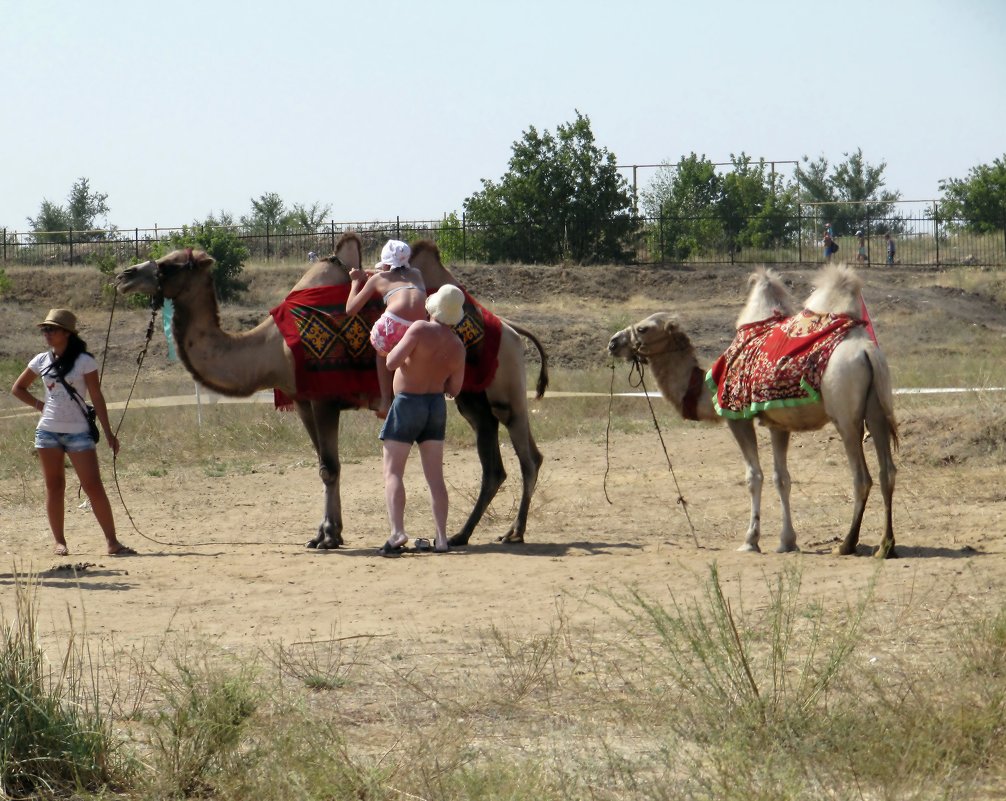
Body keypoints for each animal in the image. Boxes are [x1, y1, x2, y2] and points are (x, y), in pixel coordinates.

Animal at [114, 230, 547, 543]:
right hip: (473, 398)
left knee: (528, 456)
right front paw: (327, 533)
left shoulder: (323, 399)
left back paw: (513, 533)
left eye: (171, 265)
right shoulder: (303, 401)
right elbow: (324, 465)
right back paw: (463, 534)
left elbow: (330, 468)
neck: (272, 348)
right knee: (494, 464)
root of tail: (511, 329)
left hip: (506, 390)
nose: (123, 276)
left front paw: (326, 536)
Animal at [607, 265, 901, 559]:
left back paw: (847, 544)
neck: (706, 387)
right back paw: (885, 546)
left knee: (861, 477)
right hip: (877, 407)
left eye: (643, 329)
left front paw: (750, 540)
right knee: (887, 471)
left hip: (845, 414)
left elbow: (754, 476)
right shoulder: (778, 423)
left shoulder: (736, 416)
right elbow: (782, 478)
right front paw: (787, 541)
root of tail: (867, 351)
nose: (613, 342)